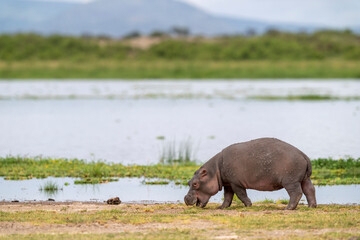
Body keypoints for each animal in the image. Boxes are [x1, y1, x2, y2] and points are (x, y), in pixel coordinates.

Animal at [184, 138, 316, 209]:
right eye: (188, 182)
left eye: (195, 184)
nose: (185, 198)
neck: (215, 170)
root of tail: (303, 155)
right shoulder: (228, 183)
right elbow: (227, 197)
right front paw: (221, 207)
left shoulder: (236, 183)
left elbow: (241, 194)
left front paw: (248, 205)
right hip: (305, 179)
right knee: (310, 190)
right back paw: (311, 206)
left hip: (290, 181)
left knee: (296, 193)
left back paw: (287, 208)